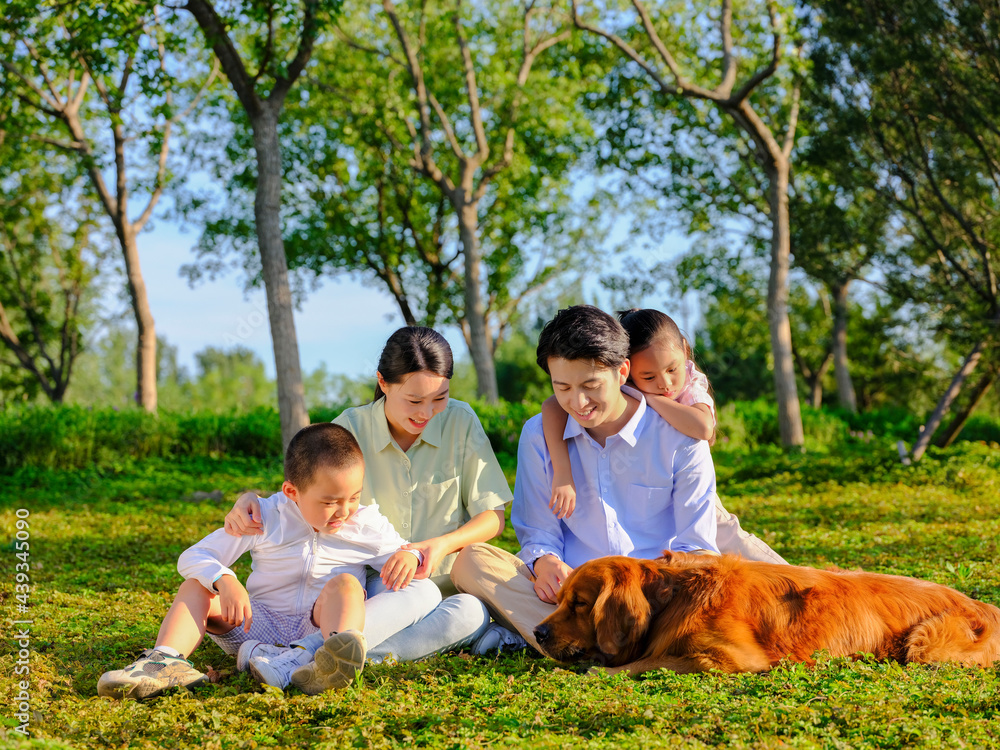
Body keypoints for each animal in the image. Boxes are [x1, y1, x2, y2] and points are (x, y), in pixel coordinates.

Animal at [536, 552, 1000, 676]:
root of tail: (984, 605)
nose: (538, 633)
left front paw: (598, 669)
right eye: (558, 598)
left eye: (579, 603)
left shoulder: (733, 657)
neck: (674, 594)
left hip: (926, 645)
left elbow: (651, 660)